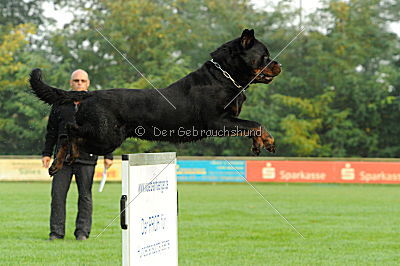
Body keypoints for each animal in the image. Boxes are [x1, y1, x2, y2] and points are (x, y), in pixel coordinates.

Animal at [28, 29, 282, 175]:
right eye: (265, 56)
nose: (279, 64)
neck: (224, 76)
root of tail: (90, 93)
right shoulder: (218, 122)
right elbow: (256, 124)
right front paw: (269, 142)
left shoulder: (228, 121)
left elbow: (252, 127)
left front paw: (258, 145)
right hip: (105, 136)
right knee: (69, 131)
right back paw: (62, 160)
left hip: (104, 139)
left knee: (68, 136)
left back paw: (60, 162)